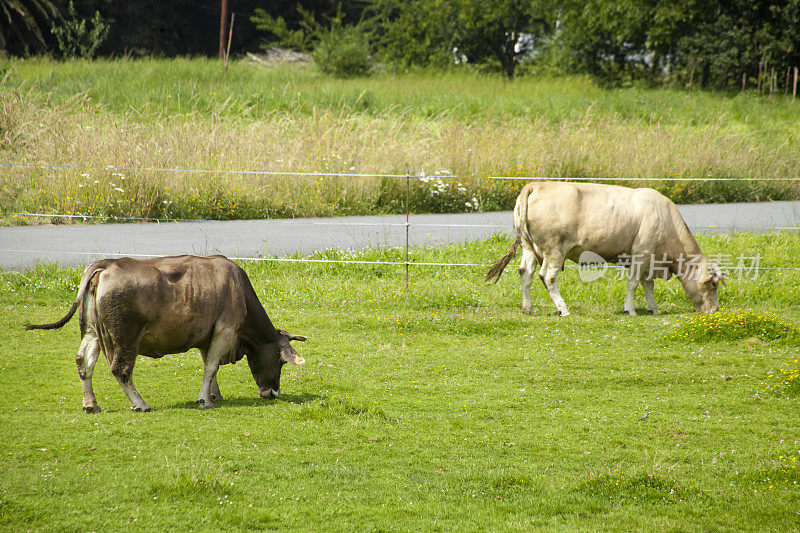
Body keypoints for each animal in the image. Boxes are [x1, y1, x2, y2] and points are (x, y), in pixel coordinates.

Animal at [25, 256, 306, 414]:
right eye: (280, 361)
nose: (273, 393)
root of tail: (107, 264)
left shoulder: (207, 335)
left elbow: (210, 365)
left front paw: (214, 394)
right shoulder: (225, 329)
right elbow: (211, 366)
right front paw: (205, 400)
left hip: (94, 332)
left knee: (84, 363)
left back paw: (91, 404)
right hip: (125, 336)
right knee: (121, 370)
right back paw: (139, 403)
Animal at [488, 183, 724, 316]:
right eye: (712, 284)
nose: (715, 311)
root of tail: (536, 184)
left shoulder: (650, 260)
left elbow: (648, 284)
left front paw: (653, 308)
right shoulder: (641, 253)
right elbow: (633, 284)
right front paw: (630, 309)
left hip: (529, 247)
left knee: (525, 273)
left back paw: (528, 309)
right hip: (555, 248)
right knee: (548, 276)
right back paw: (563, 309)